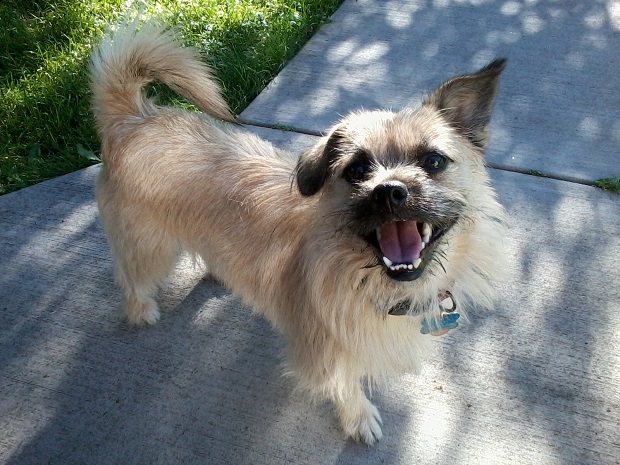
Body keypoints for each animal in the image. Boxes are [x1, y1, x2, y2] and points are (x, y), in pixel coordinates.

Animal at [92, 20, 508, 444]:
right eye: (357, 169)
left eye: (434, 160)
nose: (389, 191)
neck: (367, 279)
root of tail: (135, 118)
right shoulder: (324, 354)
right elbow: (346, 386)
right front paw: (359, 418)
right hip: (148, 247)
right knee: (132, 276)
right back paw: (141, 311)